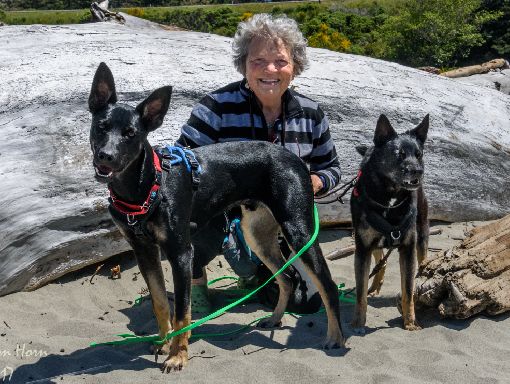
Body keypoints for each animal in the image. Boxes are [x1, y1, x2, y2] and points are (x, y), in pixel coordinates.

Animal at [87, 63, 344, 372]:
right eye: (101, 127)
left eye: (131, 133)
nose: (106, 156)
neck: (144, 188)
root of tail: (293, 158)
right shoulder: (144, 250)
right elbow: (160, 303)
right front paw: (163, 342)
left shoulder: (181, 252)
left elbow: (182, 312)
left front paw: (178, 355)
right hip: (257, 235)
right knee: (286, 279)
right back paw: (274, 319)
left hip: (298, 230)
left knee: (327, 284)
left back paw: (335, 337)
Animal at [350, 114, 426, 332]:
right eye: (399, 154)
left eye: (419, 154)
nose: (418, 171)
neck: (389, 197)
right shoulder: (362, 247)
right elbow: (360, 293)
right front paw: (358, 322)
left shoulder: (408, 248)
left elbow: (408, 290)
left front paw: (410, 322)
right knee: (381, 260)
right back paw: (375, 285)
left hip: (422, 234)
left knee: (422, 261)